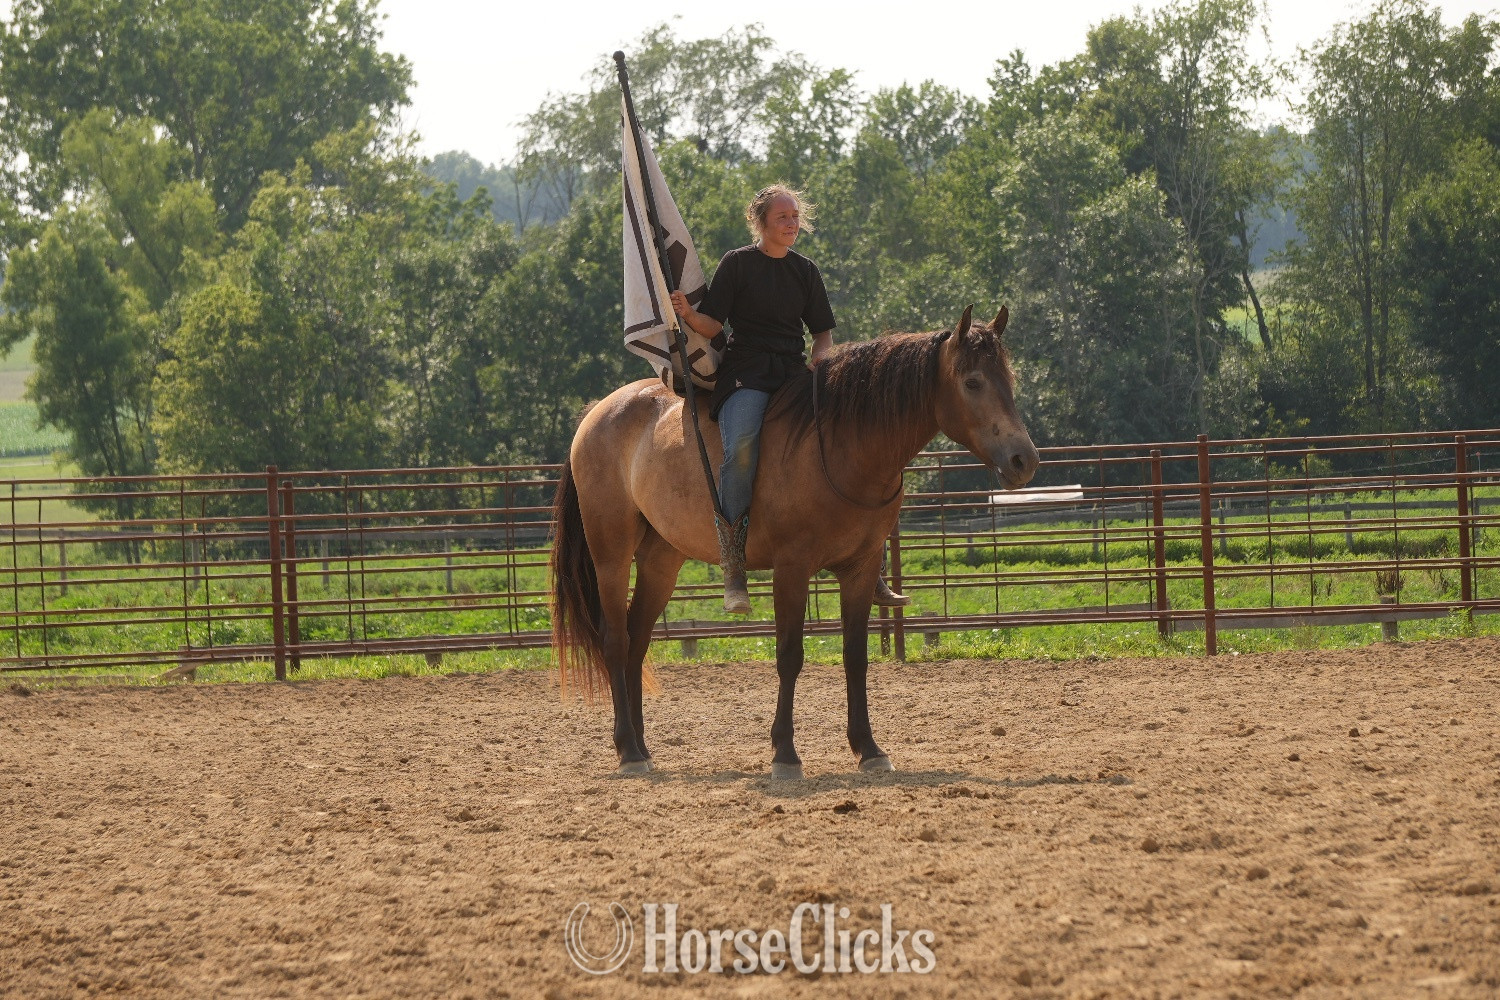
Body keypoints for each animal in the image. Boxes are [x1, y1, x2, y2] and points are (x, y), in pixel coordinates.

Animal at [549, 305, 1039, 777]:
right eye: (973, 382)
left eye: (1008, 380)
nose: (1024, 460)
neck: (842, 445)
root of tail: (598, 413)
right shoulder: (791, 569)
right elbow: (789, 655)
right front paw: (785, 754)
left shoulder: (860, 571)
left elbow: (855, 656)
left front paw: (869, 749)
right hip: (611, 553)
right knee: (615, 639)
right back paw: (629, 751)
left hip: (662, 560)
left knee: (637, 640)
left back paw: (642, 747)